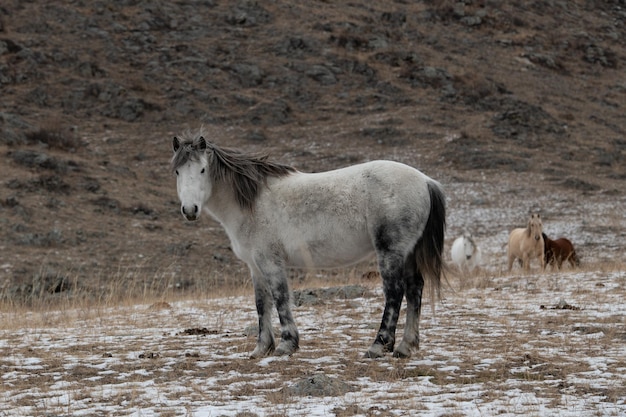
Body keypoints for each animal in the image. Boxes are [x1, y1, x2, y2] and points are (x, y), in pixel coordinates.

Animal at [169, 130, 444, 358]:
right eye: (178, 171)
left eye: (202, 170)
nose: (190, 210)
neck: (252, 202)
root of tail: (425, 180)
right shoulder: (255, 265)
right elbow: (261, 303)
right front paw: (261, 348)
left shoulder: (270, 261)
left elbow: (280, 298)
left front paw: (286, 344)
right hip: (408, 253)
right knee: (414, 290)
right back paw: (405, 347)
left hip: (390, 252)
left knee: (395, 292)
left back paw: (378, 346)